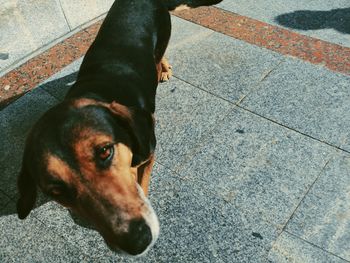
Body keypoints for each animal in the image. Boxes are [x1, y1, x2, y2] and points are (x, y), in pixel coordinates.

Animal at [15, 0, 221, 256]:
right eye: (56, 190)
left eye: (105, 151)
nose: (136, 242)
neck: (96, 93)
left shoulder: (149, 153)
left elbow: (142, 181)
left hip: (163, 36)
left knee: (159, 55)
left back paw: (162, 68)